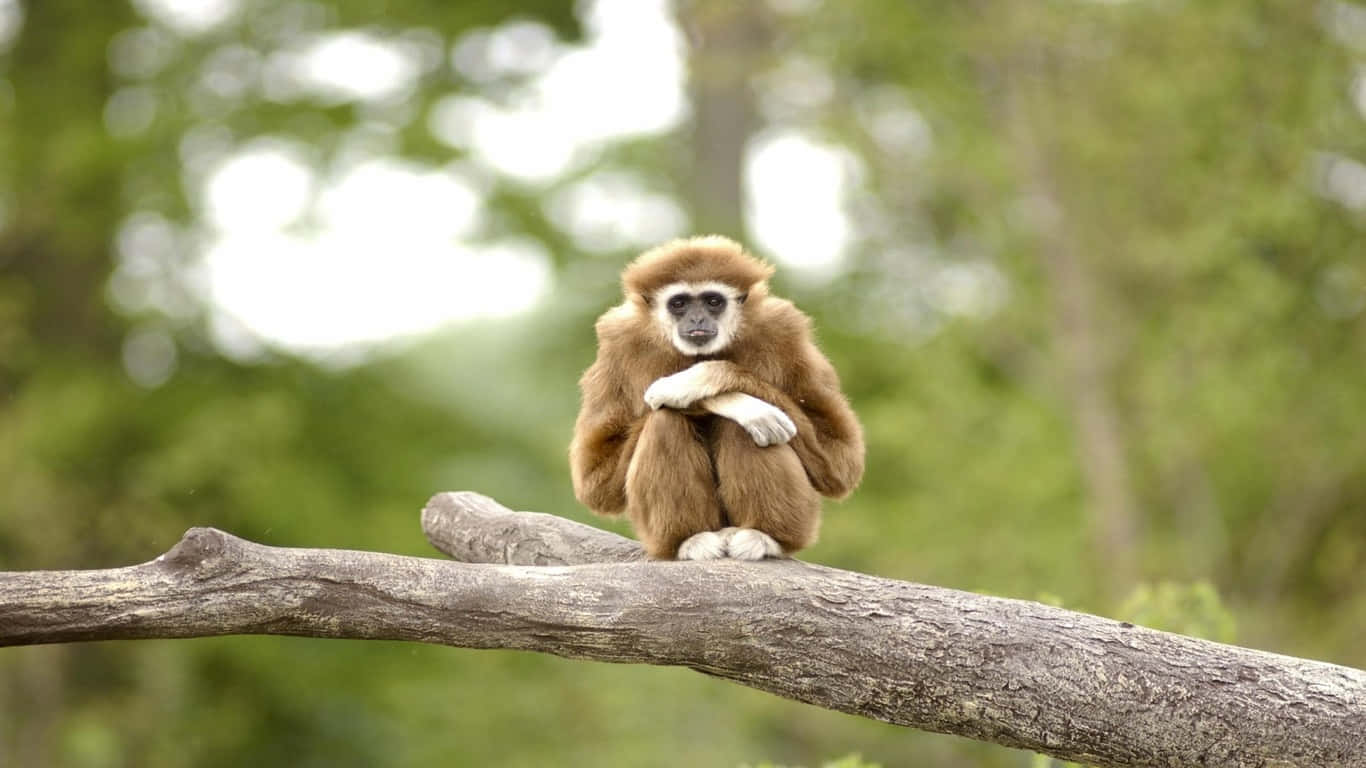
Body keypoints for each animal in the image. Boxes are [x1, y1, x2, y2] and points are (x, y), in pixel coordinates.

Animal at [569, 235, 864, 560]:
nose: (697, 318)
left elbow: (840, 462)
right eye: (679, 303)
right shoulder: (617, 341)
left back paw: (764, 536)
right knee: (664, 421)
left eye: (713, 301)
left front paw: (694, 382)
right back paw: (689, 539)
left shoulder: (785, 328)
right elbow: (597, 483)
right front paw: (731, 402)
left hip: (804, 519)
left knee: (745, 429)